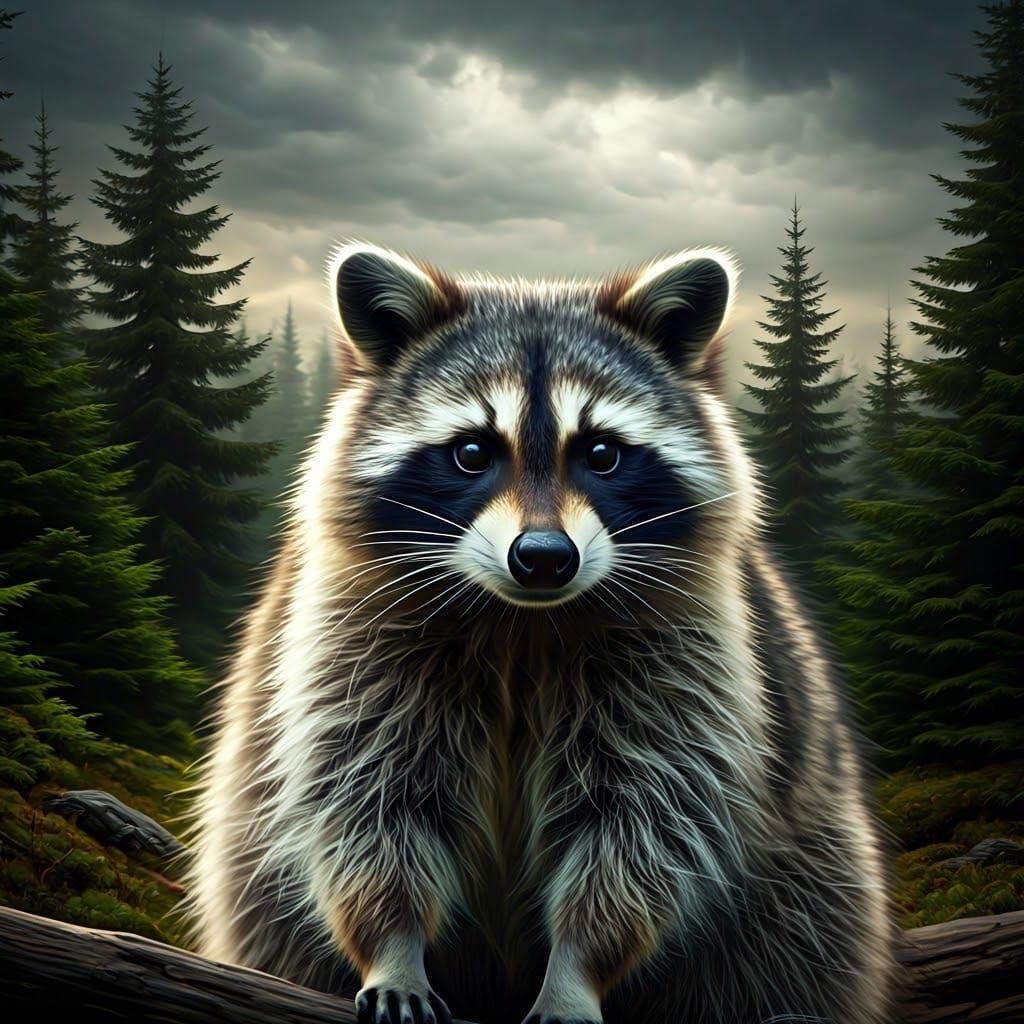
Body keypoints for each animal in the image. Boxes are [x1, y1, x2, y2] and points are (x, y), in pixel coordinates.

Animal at [187, 243, 895, 1024]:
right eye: (471, 452)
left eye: (601, 452)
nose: (546, 557)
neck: (521, 623)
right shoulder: (351, 636)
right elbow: (365, 799)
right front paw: (393, 947)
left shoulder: (688, 654)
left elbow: (644, 822)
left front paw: (575, 972)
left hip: (812, 864)